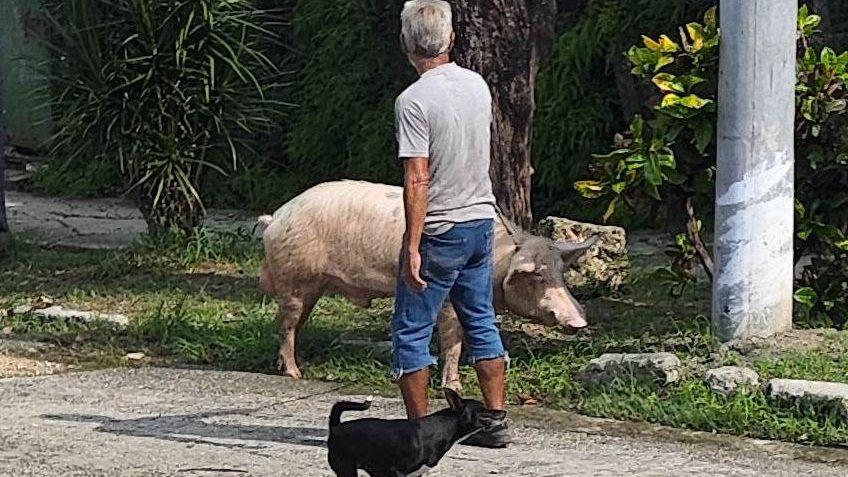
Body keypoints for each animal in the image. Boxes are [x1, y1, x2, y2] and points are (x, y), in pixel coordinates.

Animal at [328, 388, 506, 474]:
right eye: (483, 410)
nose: (504, 412)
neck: (445, 428)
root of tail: (336, 427)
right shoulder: (397, 472)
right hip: (346, 468)